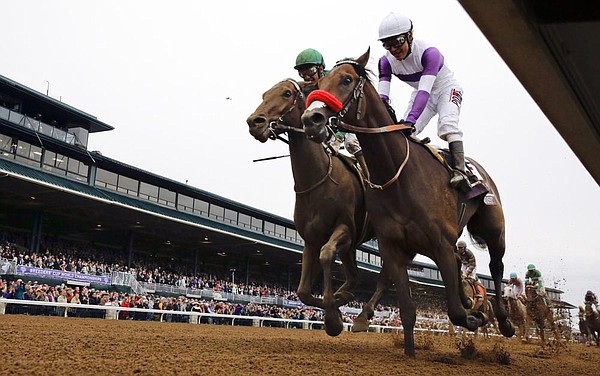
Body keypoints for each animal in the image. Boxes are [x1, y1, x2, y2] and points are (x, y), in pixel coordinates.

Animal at [246, 78, 372, 334]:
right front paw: (336, 305)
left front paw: (333, 317)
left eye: (286, 93)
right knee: (355, 276)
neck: (318, 179)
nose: (255, 122)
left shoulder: (344, 229)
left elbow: (326, 255)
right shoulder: (311, 239)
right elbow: (303, 291)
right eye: (264, 94)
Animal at [300, 48, 516, 356]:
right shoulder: (394, 247)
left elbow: (455, 312)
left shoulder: (440, 245)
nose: (311, 119)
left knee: (496, 268)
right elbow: (407, 310)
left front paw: (475, 316)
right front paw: (410, 352)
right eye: (318, 83)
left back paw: (503, 320)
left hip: (494, 230)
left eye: (346, 80)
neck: (396, 174)